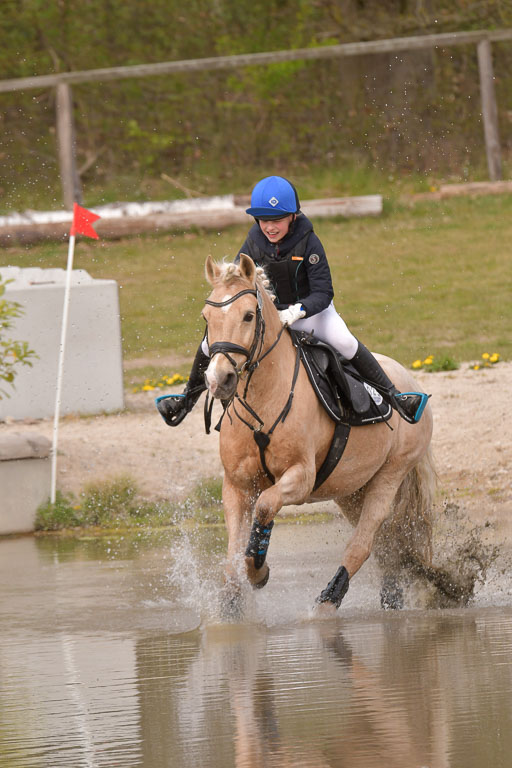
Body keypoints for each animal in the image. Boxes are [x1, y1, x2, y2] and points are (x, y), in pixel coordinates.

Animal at [202, 255, 438, 616]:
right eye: (206, 317)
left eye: (248, 315)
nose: (219, 380)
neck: (263, 398)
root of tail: (411, 382)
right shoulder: (237, 485)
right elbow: (234, 552)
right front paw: (232, 601)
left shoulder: (301, 478)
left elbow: (266, 506)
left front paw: (258, 571)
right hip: (352, 490)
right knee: (386, 543)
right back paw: (392, 595)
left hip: (390, 474)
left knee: (363, 543)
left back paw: (329, 600)